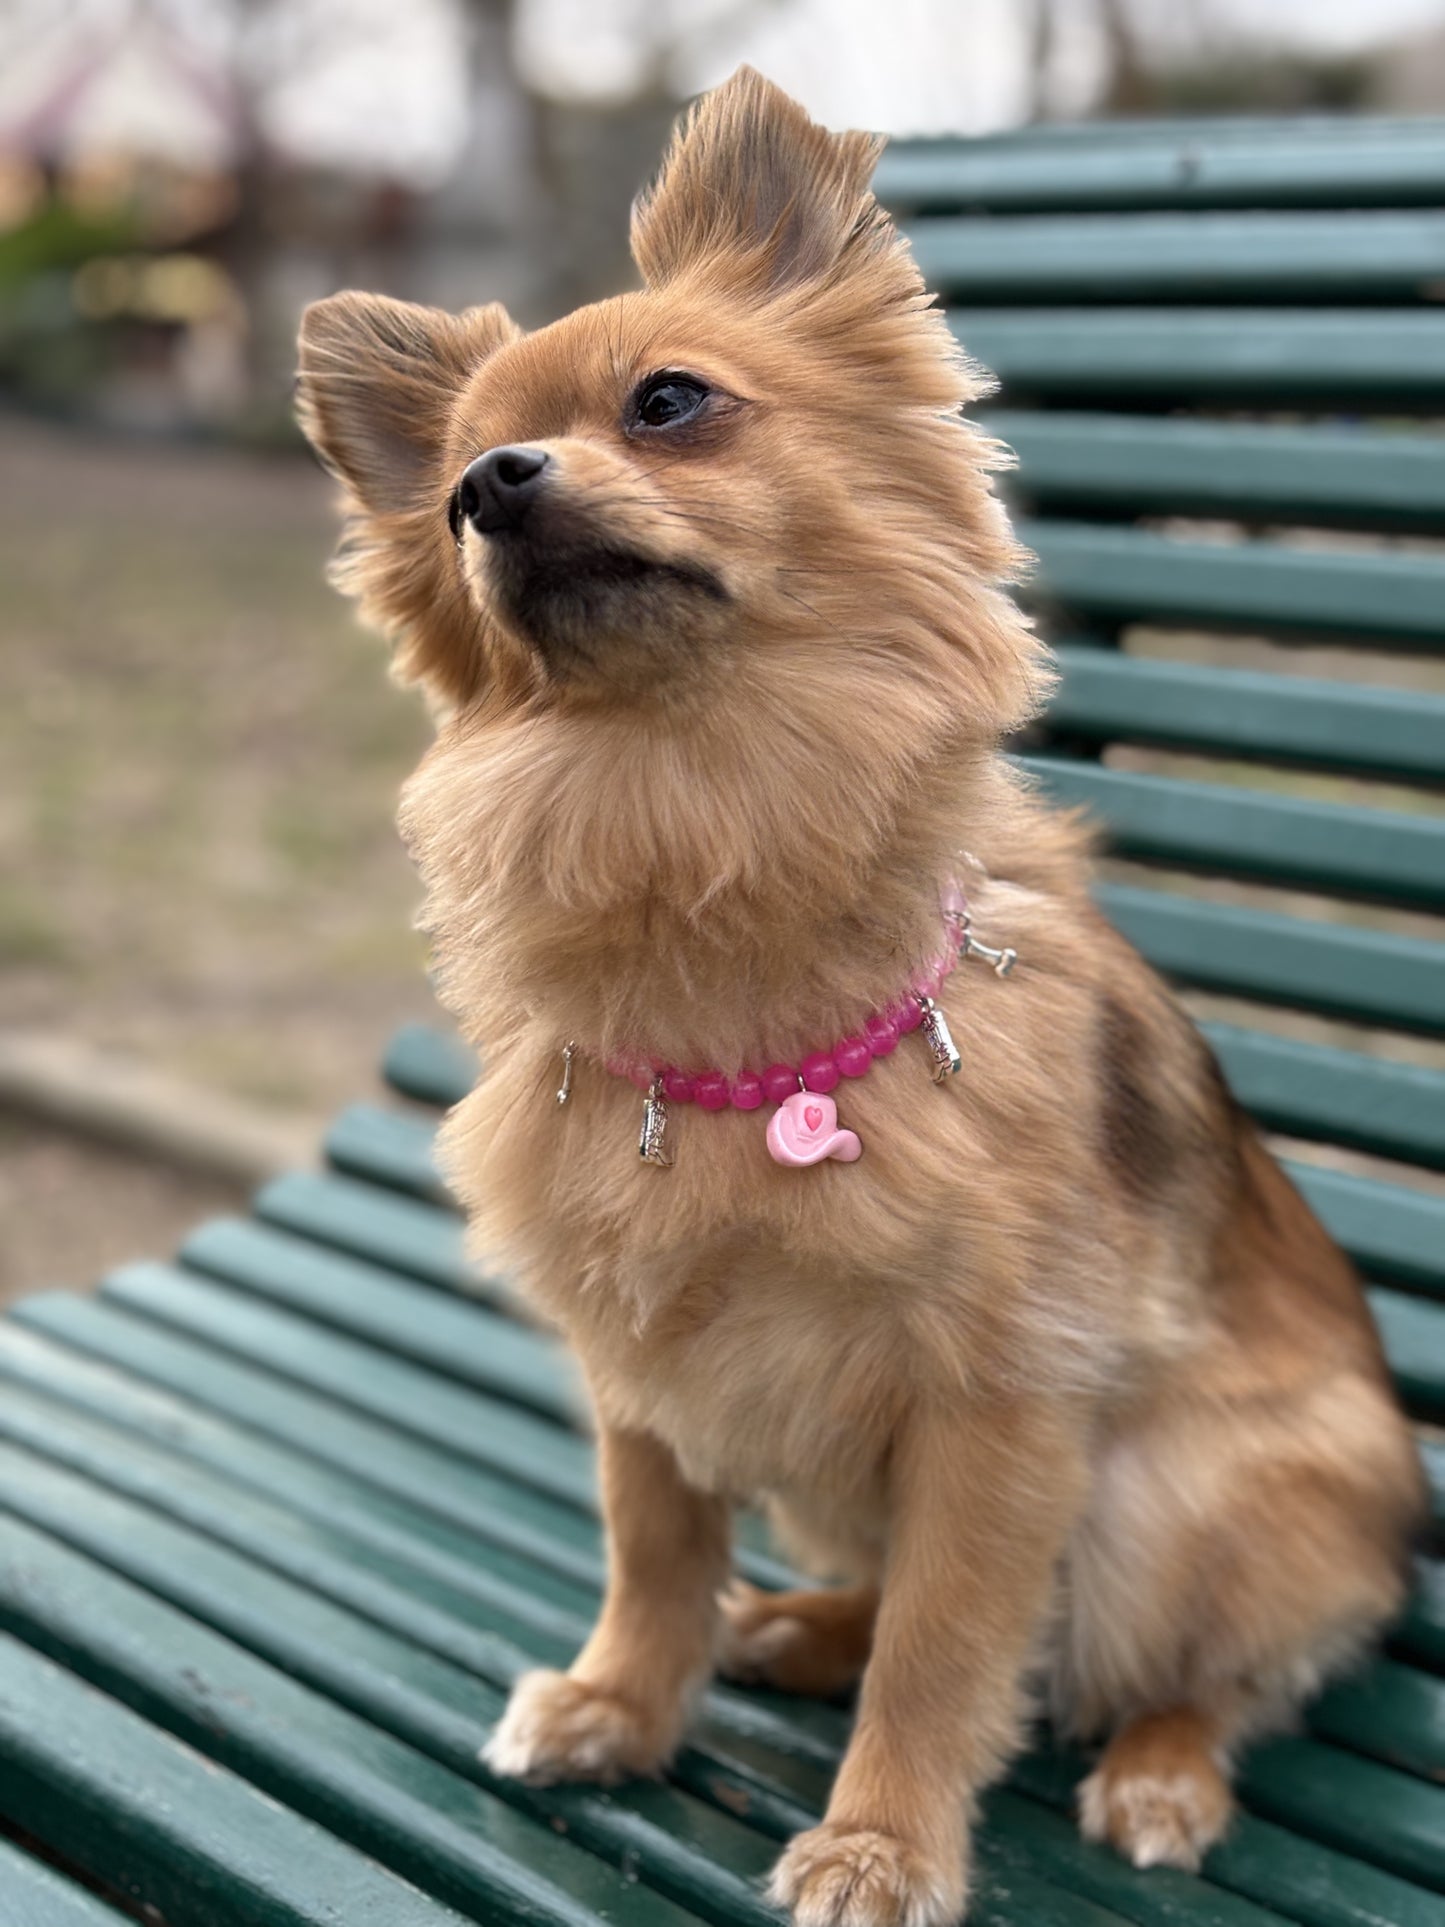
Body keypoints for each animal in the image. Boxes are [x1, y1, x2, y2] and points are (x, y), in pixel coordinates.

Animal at [294, 67, 1425, 1919]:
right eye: (456, 484)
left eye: (671, 403)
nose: (498, 487)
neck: (695, 797)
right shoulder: (641, 1364)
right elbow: (656, 1545)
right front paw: (626, 1699)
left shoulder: (996, 1406)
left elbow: (948, 1646)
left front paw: (882, 1840)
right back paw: (796, 1624)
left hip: (1193, 1497)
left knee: (1191, 1669)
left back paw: (1160, 1769)